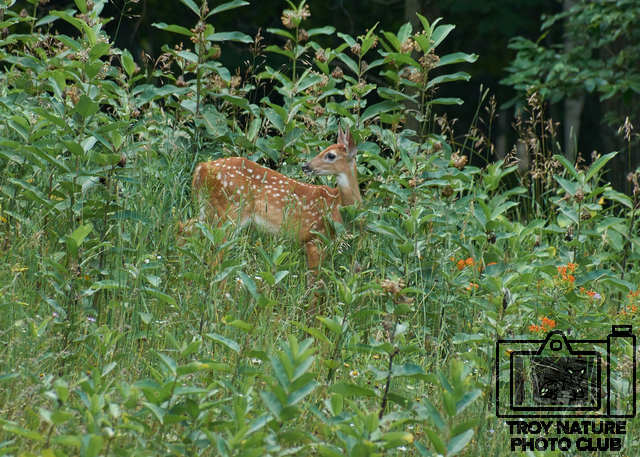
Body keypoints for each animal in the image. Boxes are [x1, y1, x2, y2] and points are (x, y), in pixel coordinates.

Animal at [190, 127, 362, 274]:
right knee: (215, 254)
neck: (336, 204)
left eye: (330, 155)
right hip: (229, 213)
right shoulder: (314, 238)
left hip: (208, 209)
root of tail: (201, 168)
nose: (306, 166)